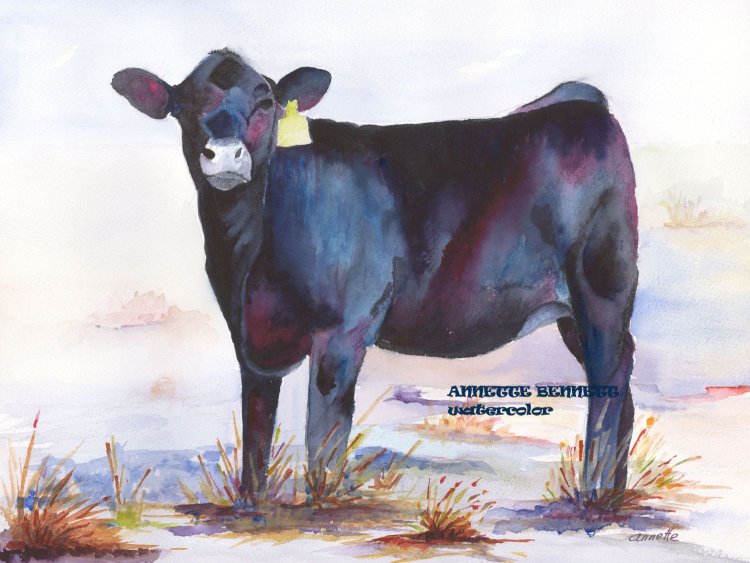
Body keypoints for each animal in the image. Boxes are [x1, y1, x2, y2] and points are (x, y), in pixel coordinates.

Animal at [113, 49, 638, 502]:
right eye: (184, 106)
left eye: (265, 102)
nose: (224, 154)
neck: (248, 253)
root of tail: (580, 102)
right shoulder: (249, 340)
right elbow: (256, 439)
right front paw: (251, 506)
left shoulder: (343, 332)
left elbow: (324, 440)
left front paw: (321, 508)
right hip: (574, 313)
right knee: (625, 372)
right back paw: (614, 491)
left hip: (602, 289)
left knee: (607, 380)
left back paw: (592, 494)